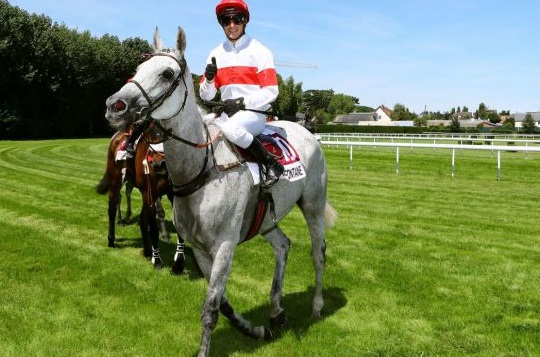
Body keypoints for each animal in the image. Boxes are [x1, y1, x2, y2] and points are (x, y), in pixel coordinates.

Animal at [97, 129, 188, 272]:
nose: (158, 163)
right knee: (113, 206)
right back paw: (113, 236)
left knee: (140, 217)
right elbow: (154, 227)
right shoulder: (150, 193)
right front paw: (157, 260)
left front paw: (178, 263)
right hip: (116, 180)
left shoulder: (174, 196)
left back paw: (147, 250)